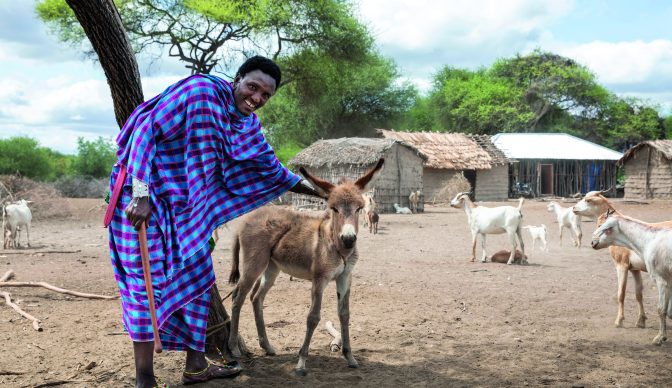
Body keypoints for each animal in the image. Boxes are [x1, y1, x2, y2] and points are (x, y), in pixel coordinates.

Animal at [228, 158, 384, 376]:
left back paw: (267, 346)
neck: (337, 247)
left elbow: (344, 314)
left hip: (272, 268)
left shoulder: (345, 277)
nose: (348, 239)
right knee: (238, 298)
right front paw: (301, 363)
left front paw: (350, 357)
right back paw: (234, 347)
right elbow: (313, 317)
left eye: (359, 209)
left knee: (256, 298)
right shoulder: (319, 279)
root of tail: (248, 218)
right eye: (334, 209)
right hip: (254, 264)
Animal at [592, 209, 672, 346]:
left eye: (604, 227)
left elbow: (661, 309)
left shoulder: (661, 280)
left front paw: (660, 338)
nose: (593, 242)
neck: (649, 240)